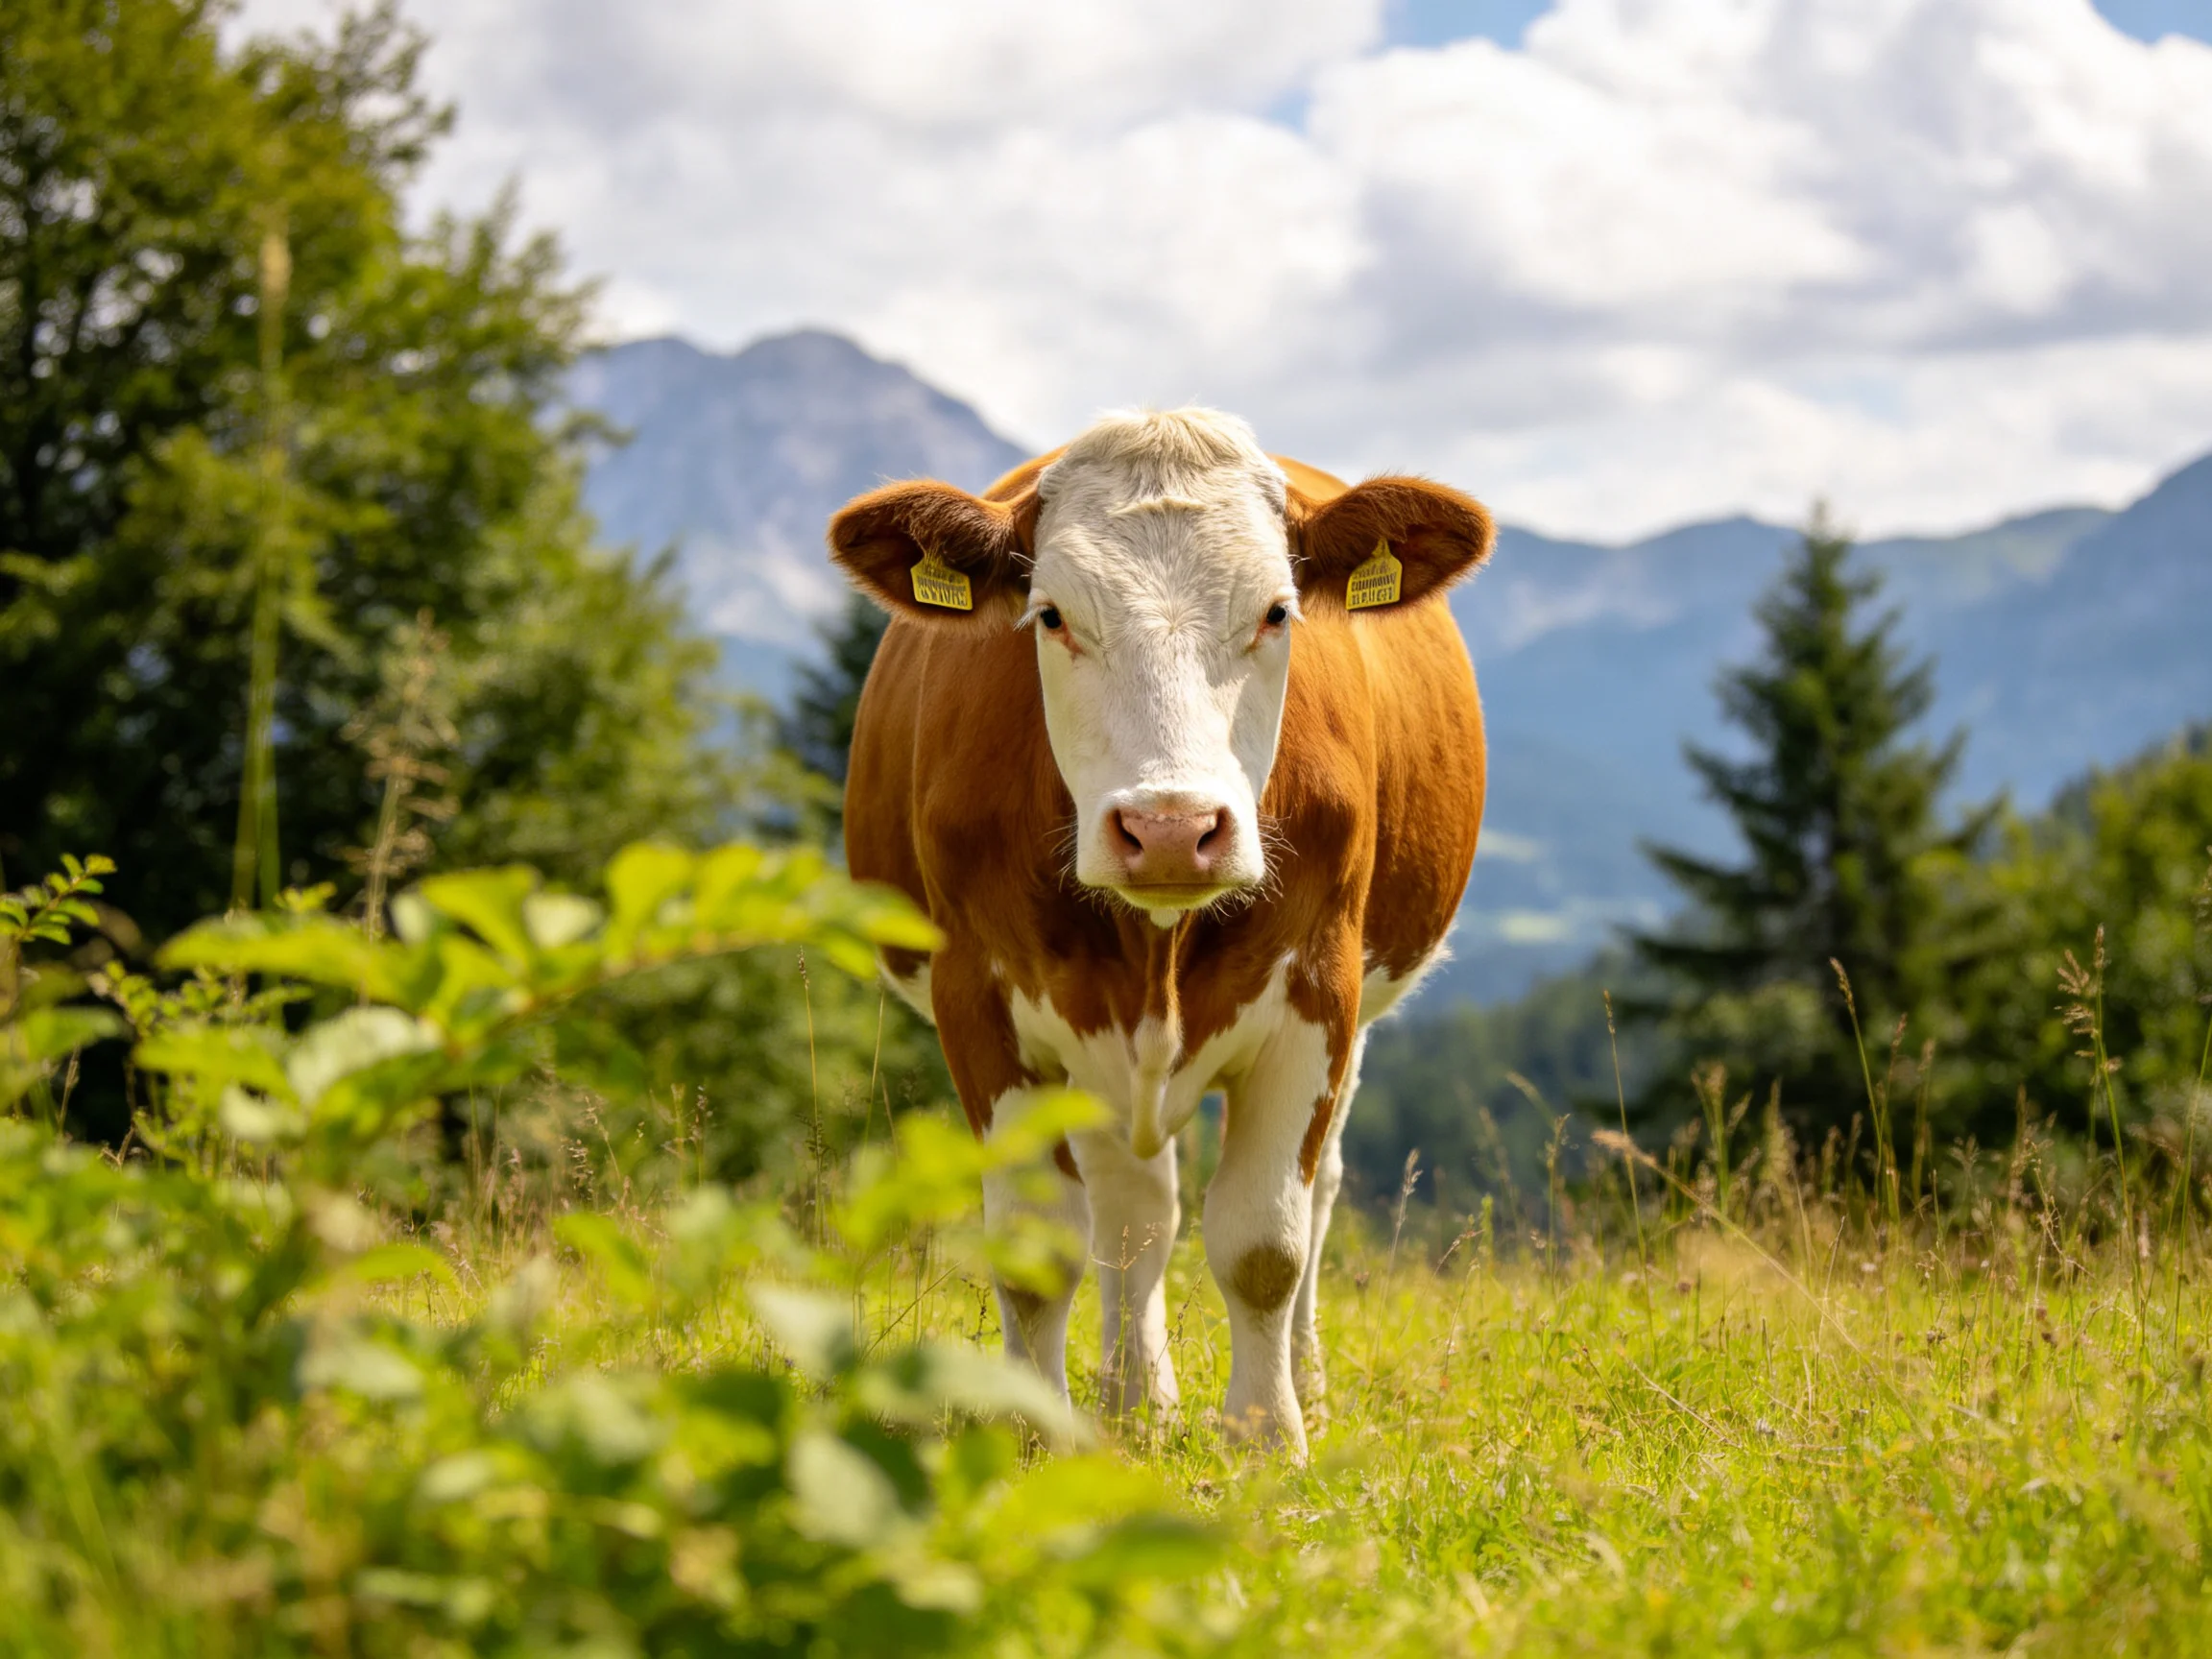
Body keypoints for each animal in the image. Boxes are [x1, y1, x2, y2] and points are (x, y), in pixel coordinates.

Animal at [830, 408, 1491, 1455]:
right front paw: (1040, 1440)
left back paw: (1302, 1385)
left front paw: (1271, 1439)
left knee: (1313, 1194)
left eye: (1277, 612)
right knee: (1132, 1214)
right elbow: (1043, 1249)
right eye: (1051, 616)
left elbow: (1265, 1242)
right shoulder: (976, 997)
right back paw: (1136, 1400)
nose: (1173, 828)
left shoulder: (1320, 992)